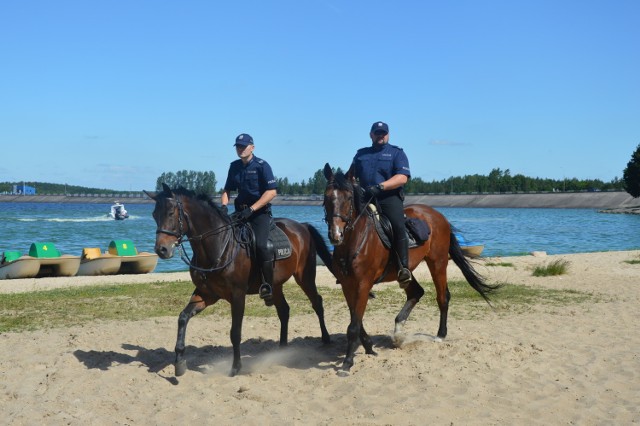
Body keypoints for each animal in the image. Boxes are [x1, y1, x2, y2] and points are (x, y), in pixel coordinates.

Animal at [146, 183, 336, 376]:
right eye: (154, 214)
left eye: (171, 213)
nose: (161, 249)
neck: (219, 246)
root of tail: (302, 226)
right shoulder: (206, 294)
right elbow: (183, 318)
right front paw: (179, 362)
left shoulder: (238, 295)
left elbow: (235, 332)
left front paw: (236, 367)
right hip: (275, 285)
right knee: (284, 310)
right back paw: (282, 349)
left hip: (305, 277)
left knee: (317, 302)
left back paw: (326, 338)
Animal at [322, 165, 498, 372]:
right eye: (326, 197)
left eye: (349, 197)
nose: (335, 234)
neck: (354, 242)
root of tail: (438, 215)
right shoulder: (347, 285)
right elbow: (356, 321)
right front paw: (368, 347)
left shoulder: (363, 284)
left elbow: (354, 326)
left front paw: (347, 363)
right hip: (407, 271)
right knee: (417, 292)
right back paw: (398, 330)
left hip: (438, 262)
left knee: (443, 297)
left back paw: (440, 335)